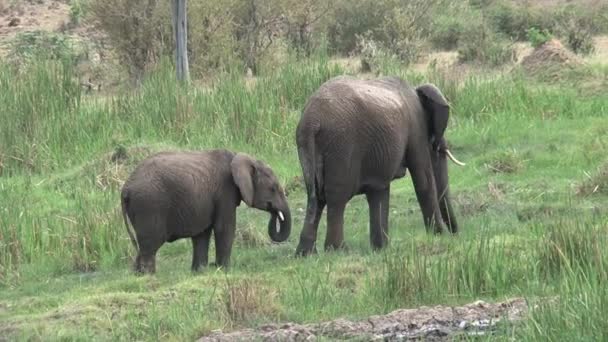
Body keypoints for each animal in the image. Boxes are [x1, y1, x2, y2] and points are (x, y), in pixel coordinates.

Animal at [120, 148, 292, 274]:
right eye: (273, 188)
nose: (274, 211)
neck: (239, 157)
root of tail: (126, 188)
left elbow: (202, 234)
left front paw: (199, 272)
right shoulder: (225, 191)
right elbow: (225, 228)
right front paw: (223, 270)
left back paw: (138, 275)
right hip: (149, 205)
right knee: (150, 244)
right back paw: (149, 276)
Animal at [294, 75, 466, 256]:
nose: (456, 234)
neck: (417, 90)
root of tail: (312, 120)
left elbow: (379, 191)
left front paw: (381, 248)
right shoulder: (416, 127)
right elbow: (423, 179)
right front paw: (440, 236)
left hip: (306, 145)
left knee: (315, 197)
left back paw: (305, 254)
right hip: (341, 145)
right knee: (337, 197)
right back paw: (338, 251)